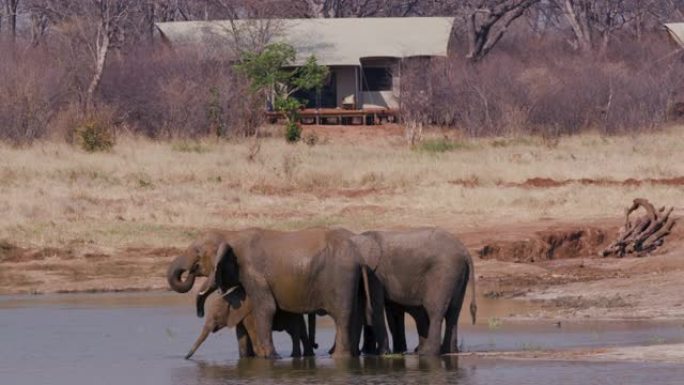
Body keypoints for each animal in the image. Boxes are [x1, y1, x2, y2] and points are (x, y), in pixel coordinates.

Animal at [183, 286, 314, 358]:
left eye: (216, 317)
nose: (185, 357)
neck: (231, 296)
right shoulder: (239, 315)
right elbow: (241, 337)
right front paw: (246, 357)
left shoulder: (250, 314)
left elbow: (253, 333)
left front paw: (260, 356)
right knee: (301, 333)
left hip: (293, 314)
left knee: (294, 333)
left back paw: (294, 356)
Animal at [208, 228, 372, 356]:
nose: (316, 345)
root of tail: (360, 259)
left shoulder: (253, 275)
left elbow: (266, 308)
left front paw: (270, 357)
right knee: (353, 315)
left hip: (342, 279)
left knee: (342, 317)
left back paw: (339, 357)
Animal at [350, 226, 478, 356]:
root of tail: (465, 252)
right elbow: (393, 313)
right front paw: (399, 351)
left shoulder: (375, 274)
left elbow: (375, 306)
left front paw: (378, 352)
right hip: (459, 275)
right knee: (454, 313)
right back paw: (449, 351)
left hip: (444, 272)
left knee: (435, 310)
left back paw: (427, 352)